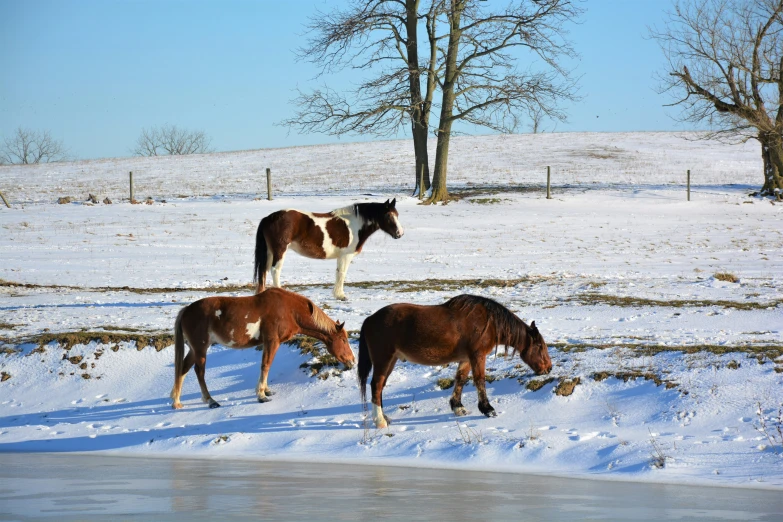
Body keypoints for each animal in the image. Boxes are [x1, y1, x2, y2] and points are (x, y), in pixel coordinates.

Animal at [174, 286, 356, 408]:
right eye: (343, 340)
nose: (353, 360)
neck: (290, 310)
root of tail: (186, 310)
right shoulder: (272, 341)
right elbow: (266, 365)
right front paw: (261, 395)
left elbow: (267, 365)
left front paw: (266, 390)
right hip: (201, 348)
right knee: (199, 372)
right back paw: (210, 400)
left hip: (194, 349)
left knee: (183, 368)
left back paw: (176, 401)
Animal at [254, 197, 404, 298]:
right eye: (388, 215)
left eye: (397, 215)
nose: (400, 233)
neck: (353, 225)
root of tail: (268, 218)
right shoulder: (345, 256)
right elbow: (342, 273)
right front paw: (340, 295)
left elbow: (338, 273)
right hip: (279, 251)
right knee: (275, 270)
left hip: (270, 252)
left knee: (264, 271)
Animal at [358, 292, 556, 426]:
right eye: (540, 346)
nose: (548, 368)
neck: (489, 323)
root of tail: (370, 319)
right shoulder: (477, 356)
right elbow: (479, 380)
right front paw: (488, 409)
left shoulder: (466, 358)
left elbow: (460, 379)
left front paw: (457, 406)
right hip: (384, 359)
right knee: (376, 385)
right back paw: (380, 421)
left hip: (391, 360)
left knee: (380, 386)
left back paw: (384, 417)